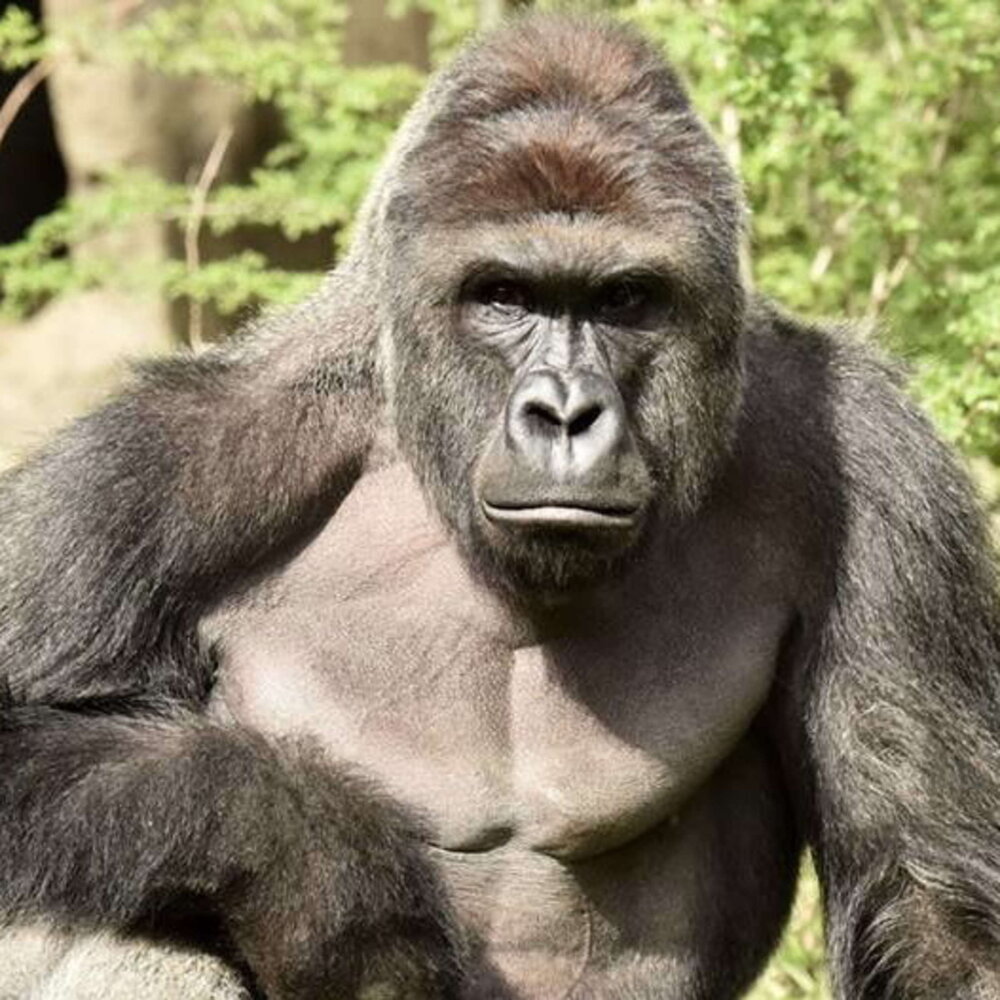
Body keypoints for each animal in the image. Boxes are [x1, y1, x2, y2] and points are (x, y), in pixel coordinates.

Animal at [2, 12, 1000, 1000]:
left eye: (625, 298)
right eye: (505, 296)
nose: (563, 415)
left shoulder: (876, 467)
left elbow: (931, 901)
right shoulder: (153, 468)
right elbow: (40, 735)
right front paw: (317, 864)